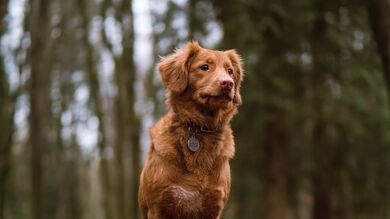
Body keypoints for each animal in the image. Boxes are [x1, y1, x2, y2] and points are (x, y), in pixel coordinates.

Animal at [139, 41, 244, 219]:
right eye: (204, 67)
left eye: (230, 71)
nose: (228, 83)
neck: (200, 128)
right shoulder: (158, 206)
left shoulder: (213, 207)